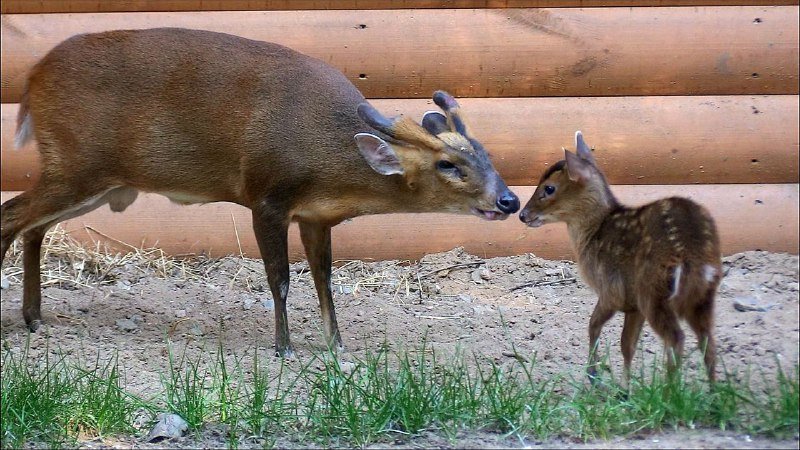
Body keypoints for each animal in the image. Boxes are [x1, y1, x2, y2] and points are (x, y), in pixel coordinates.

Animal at [0, 29, 520, 358]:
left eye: (487, 155)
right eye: (448, 165)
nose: (509, 201)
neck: (327, 160)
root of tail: (32, 78)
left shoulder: (316, 215)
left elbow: (325, 279)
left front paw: (336, 345)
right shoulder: (266, 196)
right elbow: (280, 278)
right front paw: (284, 347)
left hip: (96, 180)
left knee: (34, 227)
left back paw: (34, 316)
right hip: (76, 164)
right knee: (11, 214)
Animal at [520, 130, 720, 384]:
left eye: (548, 189)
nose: (523, 215)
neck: (594, 233)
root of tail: (692, 255)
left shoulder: (611, 290)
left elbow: (594, 325)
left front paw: (595, 375)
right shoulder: (632, 305)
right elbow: (627, 345)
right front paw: (625, 385)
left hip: (653, 292)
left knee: (676, 338)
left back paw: (670, 390)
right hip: (702, 295)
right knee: (708, 342)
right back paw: (713, 392)